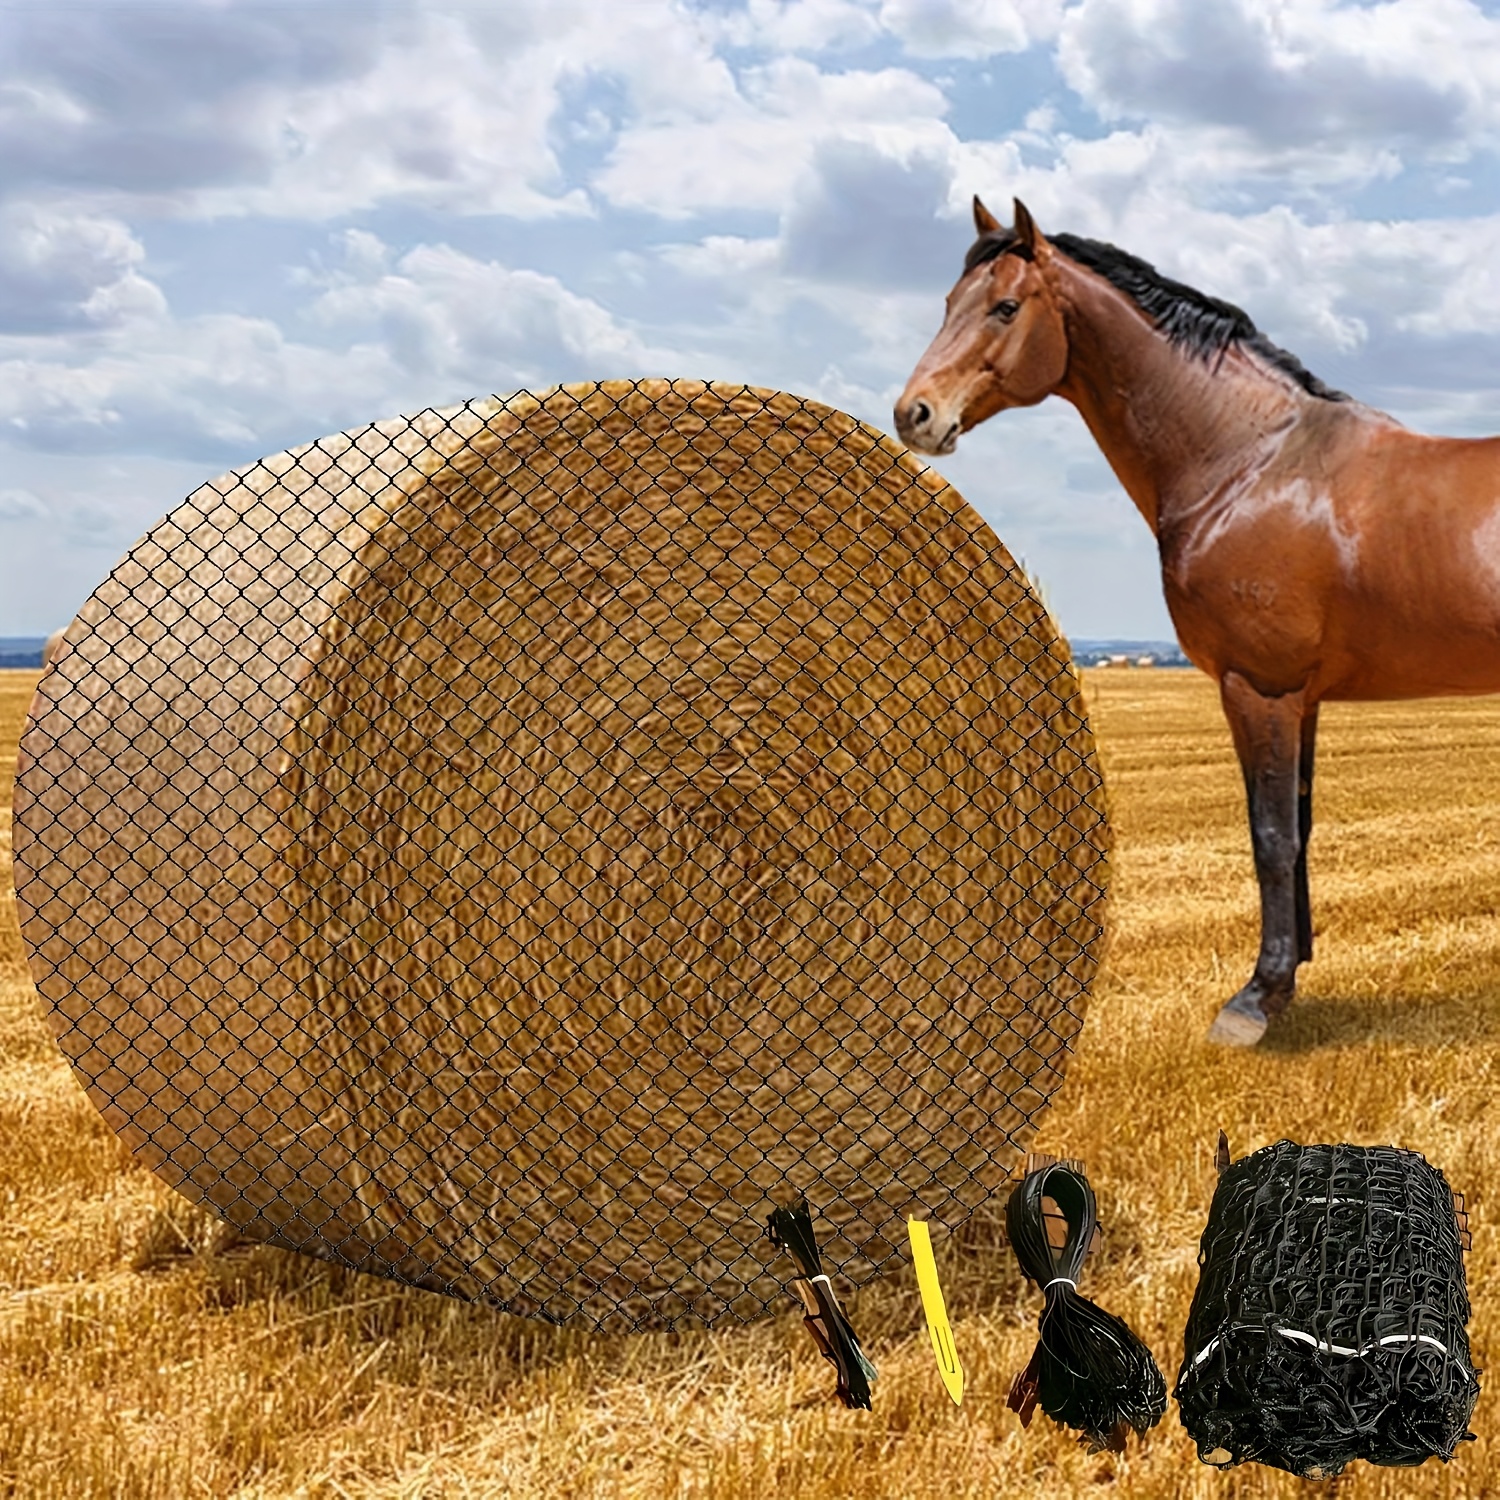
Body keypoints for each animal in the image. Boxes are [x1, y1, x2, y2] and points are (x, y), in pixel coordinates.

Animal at [895, 196, 1500, 1046]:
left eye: (1005, 307)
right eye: (949, 302)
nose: (913, 413)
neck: (1250, 464)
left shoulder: (1260, 688)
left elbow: (1271, 838)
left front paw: (1254, 1000)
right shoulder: (1299, 699)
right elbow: (1299, 829)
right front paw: (1290, 977)